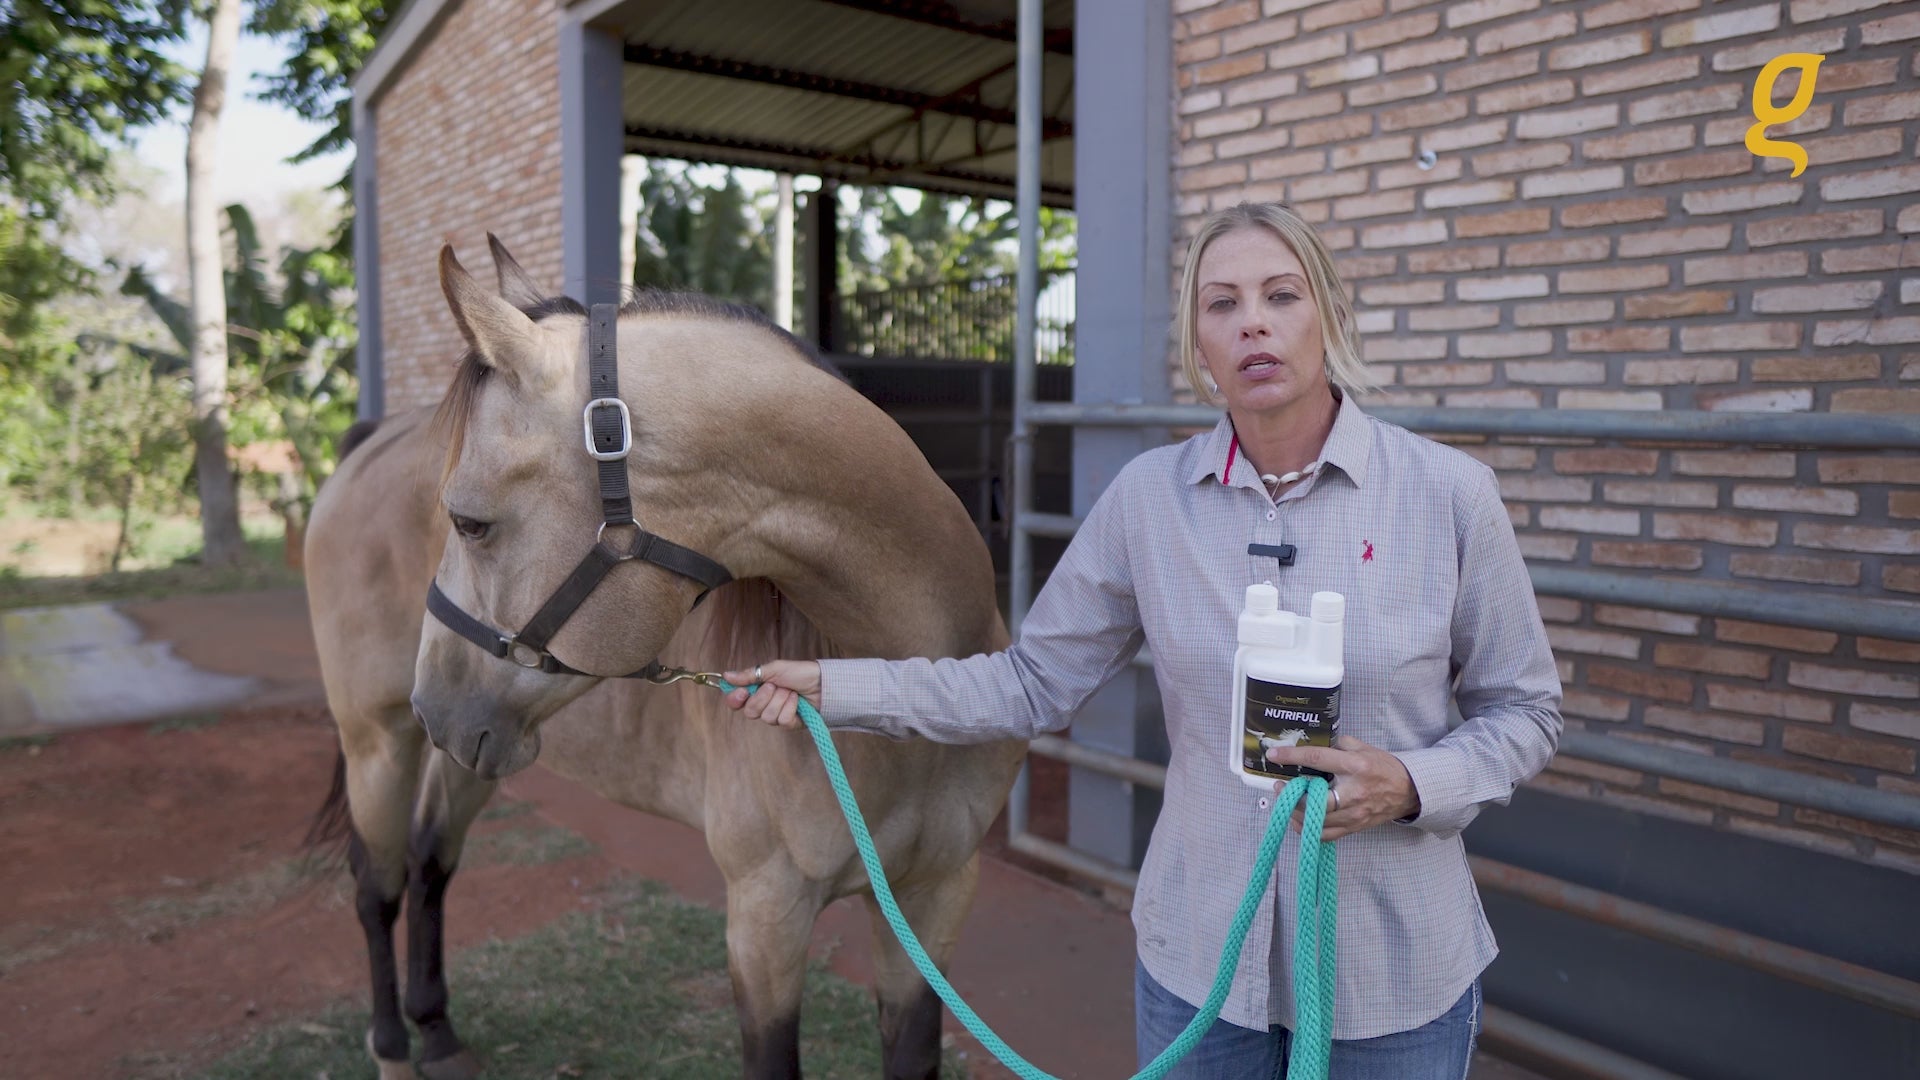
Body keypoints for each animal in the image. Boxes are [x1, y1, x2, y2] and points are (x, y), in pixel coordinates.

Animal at [302, 235, 1027, 1080]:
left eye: (469, 522)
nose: (434, 703)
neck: (917, 694)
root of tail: (367, 445)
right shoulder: (766, 914)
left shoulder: (934, 900)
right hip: (379, 742)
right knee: (376, 886)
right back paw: (391, 1047)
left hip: (469, 757)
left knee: (428, 862)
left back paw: (437, 1029)